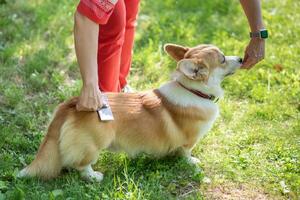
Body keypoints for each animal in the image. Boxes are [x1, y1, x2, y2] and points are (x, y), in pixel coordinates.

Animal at [18, 43, 244, 181]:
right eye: (223, 59)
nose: (242, 58)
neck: (192, 90)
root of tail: (72, 104)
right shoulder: (190, 140)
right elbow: (186, 152)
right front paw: (192, 162)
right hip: (94, 144)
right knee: (80, 164)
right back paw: (94, 176)